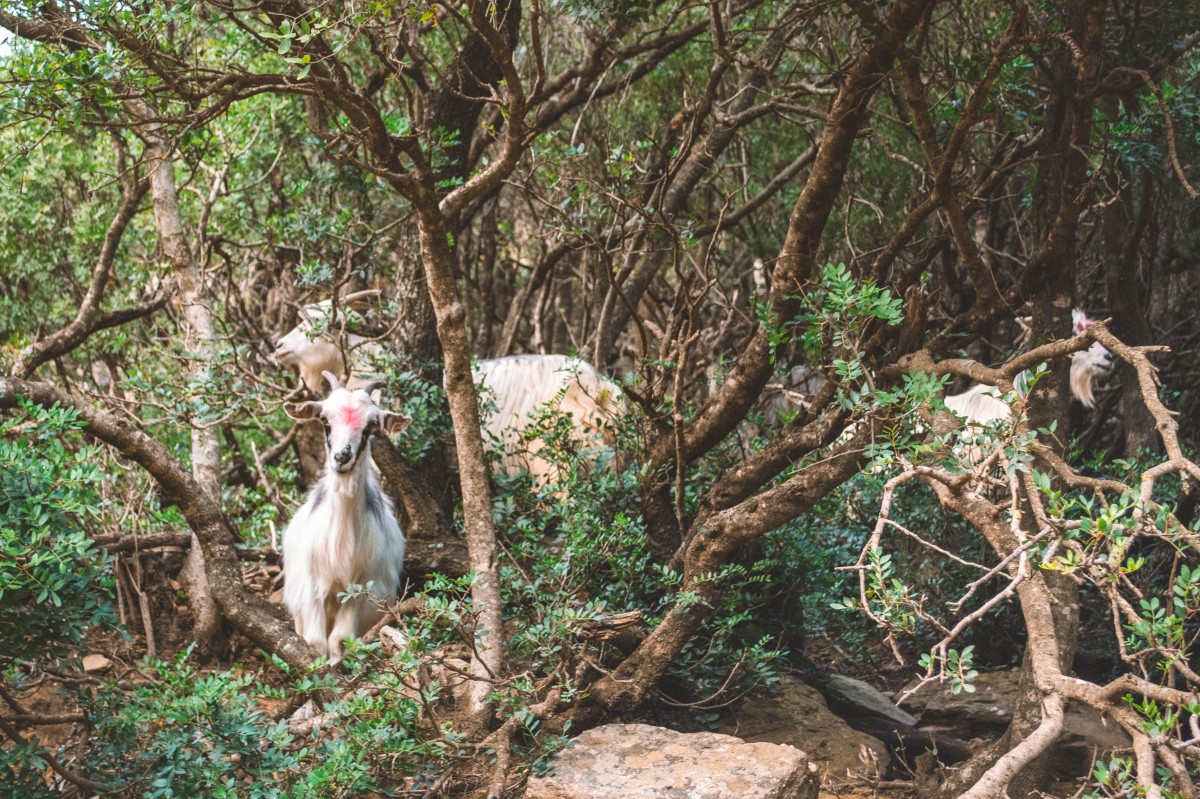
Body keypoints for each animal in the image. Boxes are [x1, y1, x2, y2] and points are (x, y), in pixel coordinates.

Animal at [282, 367, 410, 657]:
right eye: (324, 420)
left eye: (370, 426)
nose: (342, 457)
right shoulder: (312, 584)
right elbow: (315, 641)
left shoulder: (359, 586)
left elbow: (340, 639)